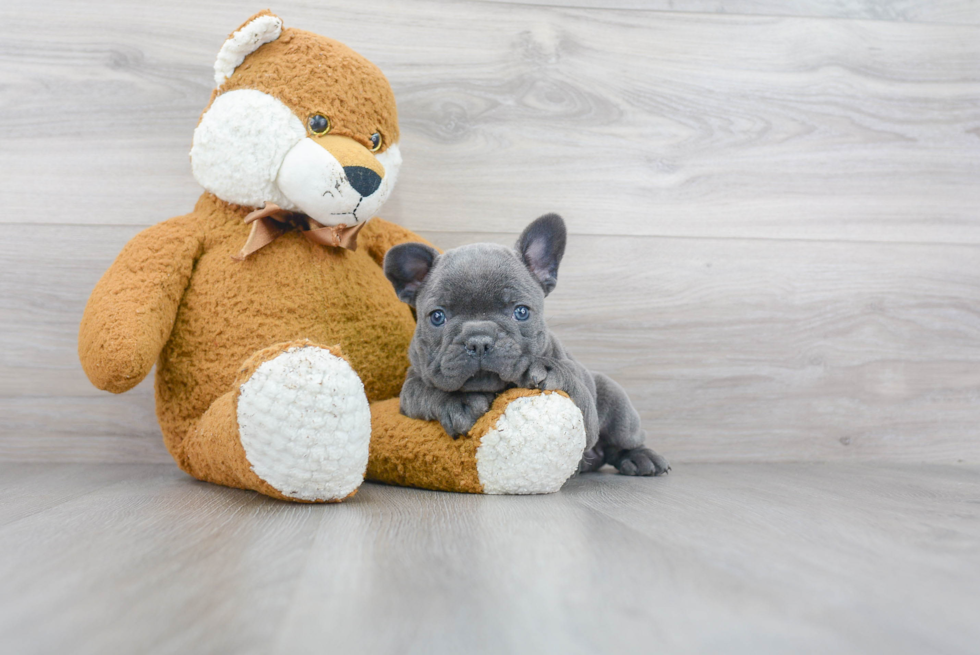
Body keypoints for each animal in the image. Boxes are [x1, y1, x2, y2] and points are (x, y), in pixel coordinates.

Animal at [380, 215, 668, 476]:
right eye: (437, 317)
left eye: (521, 312)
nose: (479, 339)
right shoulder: (410, 389)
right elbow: (426, 390)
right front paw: (458, 401)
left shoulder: (585, 410)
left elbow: (573, 385)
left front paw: (549, 370)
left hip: (617, 404)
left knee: (624, 441)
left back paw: (641, 459)